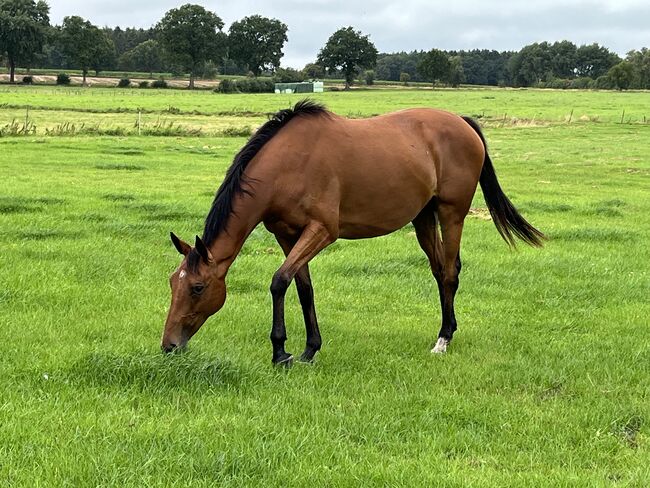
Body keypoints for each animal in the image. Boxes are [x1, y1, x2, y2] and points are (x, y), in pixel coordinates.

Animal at [162, 99, 540, 364]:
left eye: (197, 287)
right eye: (172, 283)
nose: (169, 345)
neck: (287, 165)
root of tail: (462, 121)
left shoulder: (322, 230)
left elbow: (279, 281)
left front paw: (280, 352)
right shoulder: (286, 234)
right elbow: (303, 288)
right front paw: (309, 350)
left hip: (452, 214)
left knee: (449, 272)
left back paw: (443, 339)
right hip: (423, 218)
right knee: (438, 271)